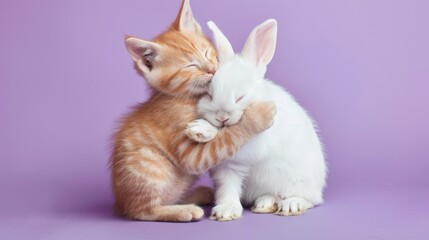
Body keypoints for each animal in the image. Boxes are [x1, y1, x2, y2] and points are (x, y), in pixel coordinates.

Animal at [110, 0, 276, 222]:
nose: (212, 69)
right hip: (149, 163)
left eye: (206, 52)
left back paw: (197, 195)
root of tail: (120, 204)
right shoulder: (190, 153)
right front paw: (259, 115)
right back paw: (185, 210)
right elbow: (227, 136)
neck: (185, 97)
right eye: (191, 66)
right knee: (143, 211)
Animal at [185, 19, 328, 221]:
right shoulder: (225, 171)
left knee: (310, 200)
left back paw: (291, 205)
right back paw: (265, 203)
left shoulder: (251, 147)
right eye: (209, 95)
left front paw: (203, 129)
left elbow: (228, 134)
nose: (222, 116)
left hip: (302, 183)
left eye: (240, 97)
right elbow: (226, 189)